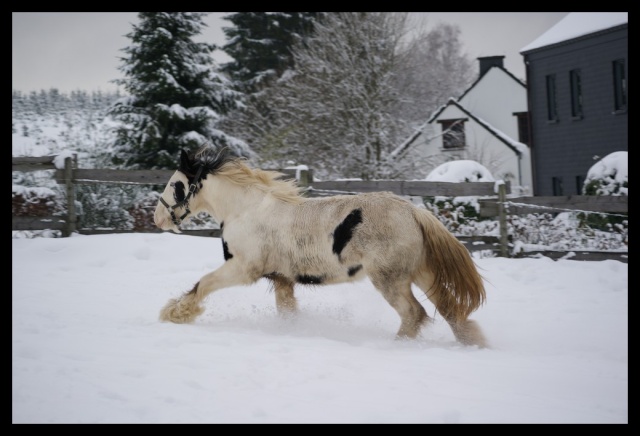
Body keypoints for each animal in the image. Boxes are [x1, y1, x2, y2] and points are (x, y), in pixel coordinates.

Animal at [152, 146, 488, 348]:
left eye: (175, 185)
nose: (158, 218)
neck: (245, 210)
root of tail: (414, 212)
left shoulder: (243, 269)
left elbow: (203, 284)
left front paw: (175, 313)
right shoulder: (282, 279)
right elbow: (287, 312)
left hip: (390, 279)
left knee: (414, 313)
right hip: (421, 273)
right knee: (450, 310)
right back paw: (474, 344)